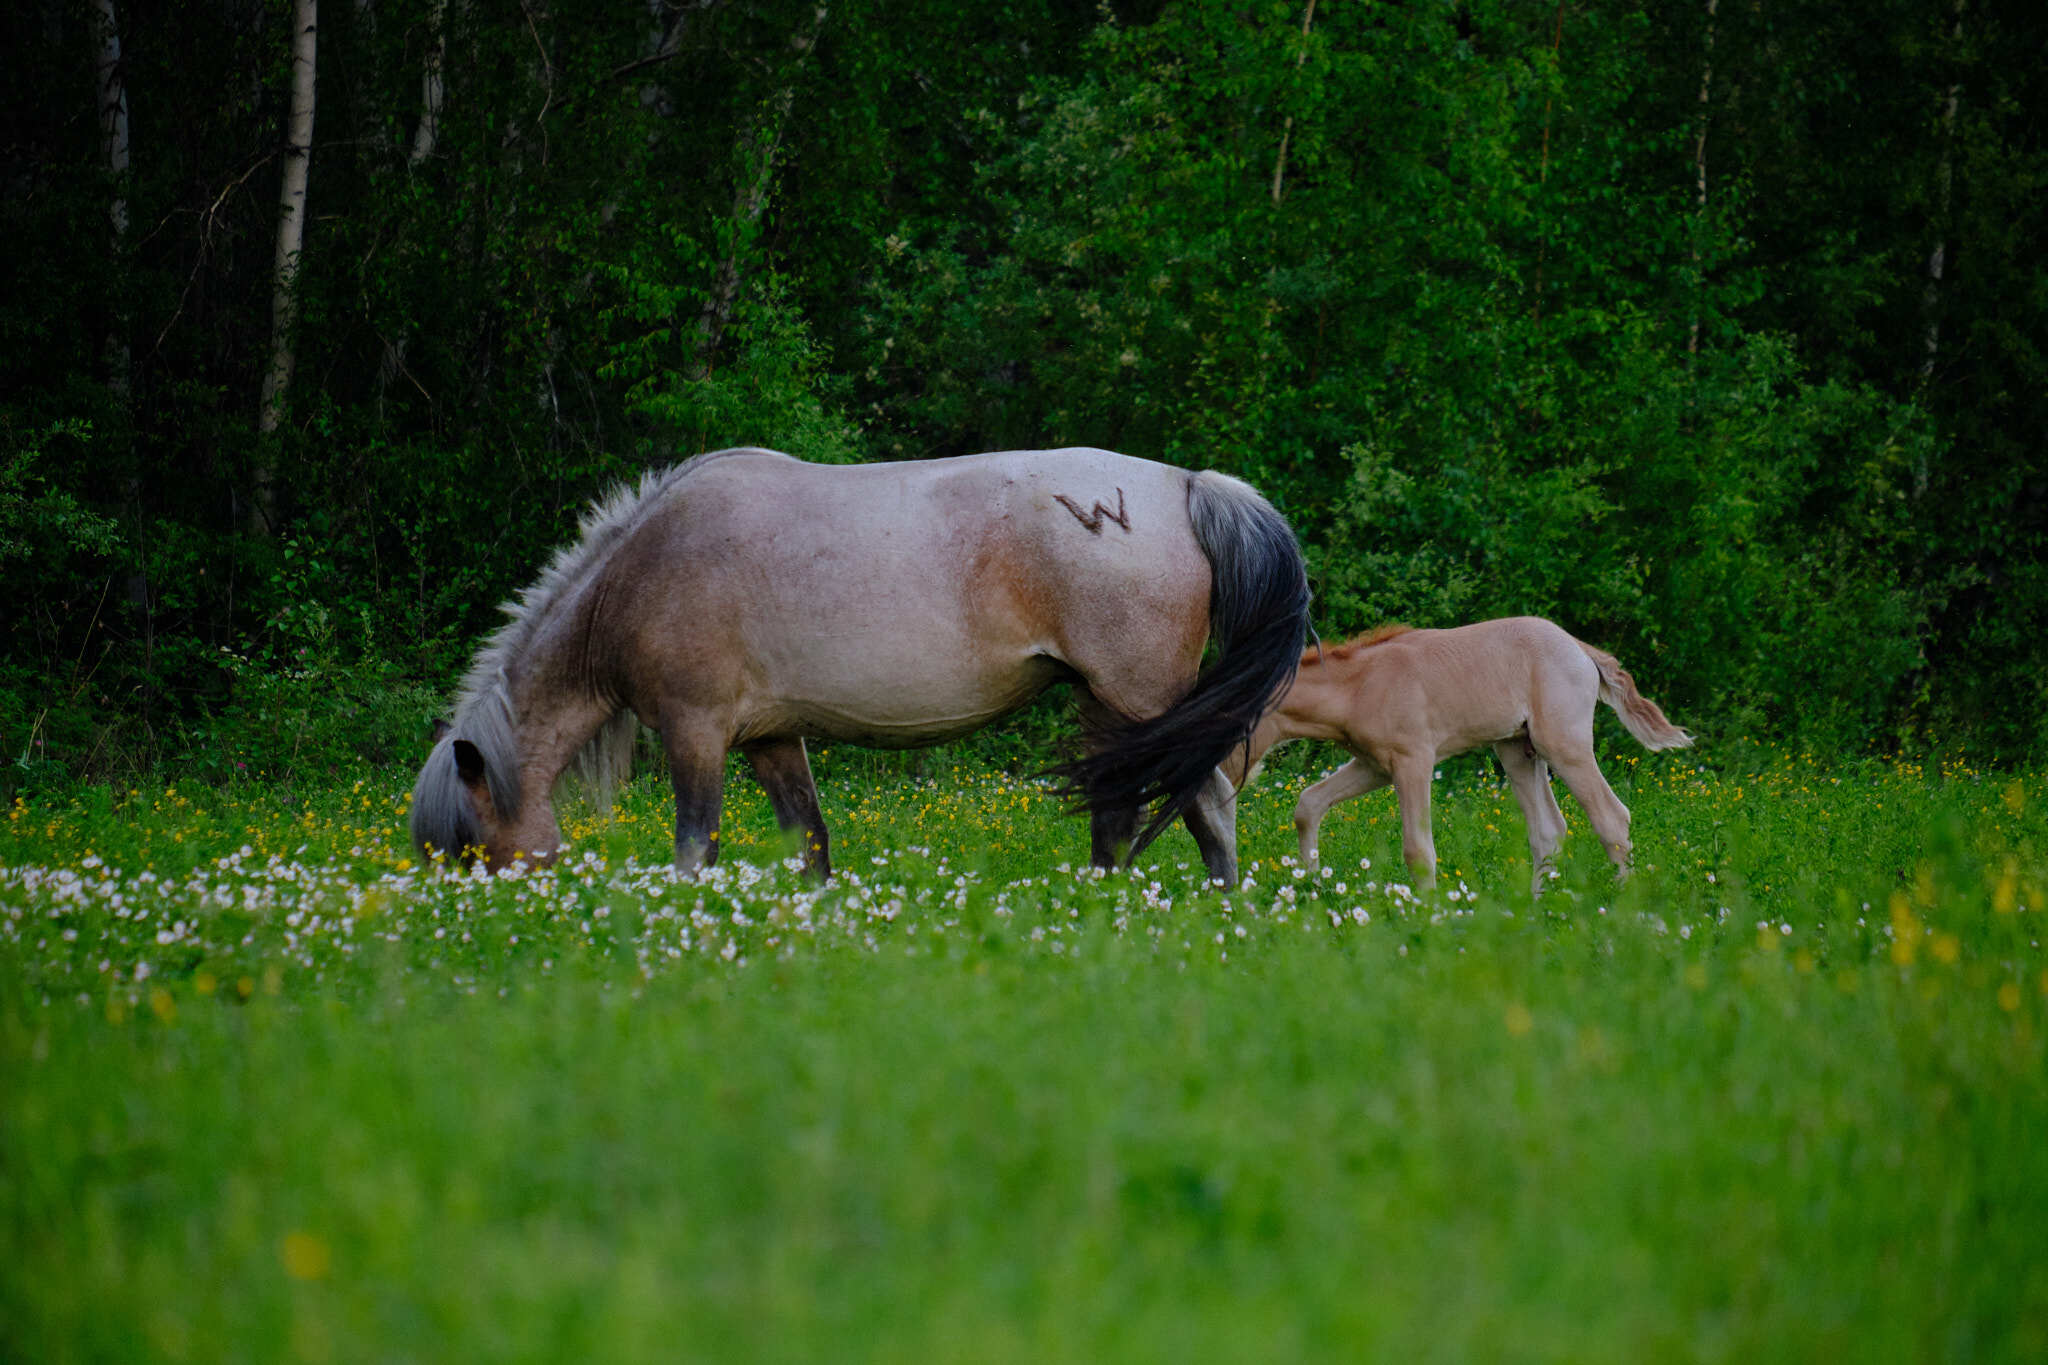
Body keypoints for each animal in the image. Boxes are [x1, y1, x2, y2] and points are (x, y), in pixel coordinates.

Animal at [411, 448, 1310, 888]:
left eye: (473, 849)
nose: (491, 927)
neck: (639, 572)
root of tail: (1187, 484)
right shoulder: (770, 739)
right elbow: (810, 841)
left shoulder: (695, 732)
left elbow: (694, 846)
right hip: (1104, 705)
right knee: (1119, 810)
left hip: (1143, 697)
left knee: (1207, 800)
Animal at [1220, 618, 1687, 896]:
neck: (1360, 686)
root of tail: (1580, 649)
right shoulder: (1374, 765)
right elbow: (1308, 804)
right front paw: (1310, 883)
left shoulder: (1413, 761)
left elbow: (1417, 850)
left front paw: (1429, 918)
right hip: (1517, 750)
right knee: (1548, 831)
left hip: (1564, 745)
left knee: (1611, 819)